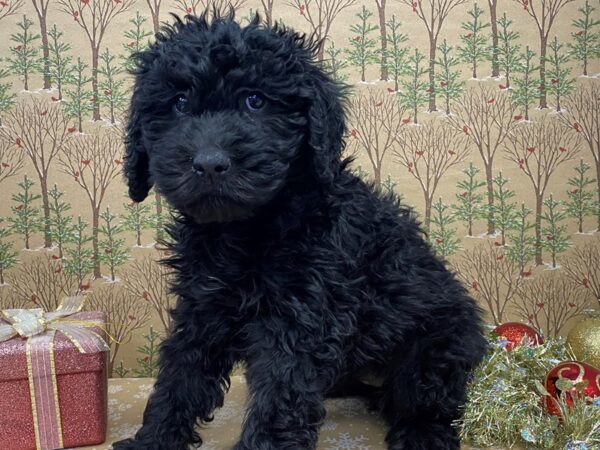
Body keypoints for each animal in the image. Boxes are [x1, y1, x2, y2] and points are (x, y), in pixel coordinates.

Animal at [113, 10, 488, 450]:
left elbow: (279, 397)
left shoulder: (298, 319)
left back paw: (421, 434)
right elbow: (180, 377)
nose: (209, 163)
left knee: (430, 401)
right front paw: (153, 438)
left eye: (256, 101)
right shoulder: (202, 307)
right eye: (180, 103)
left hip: (435, 347)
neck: (246, 230)